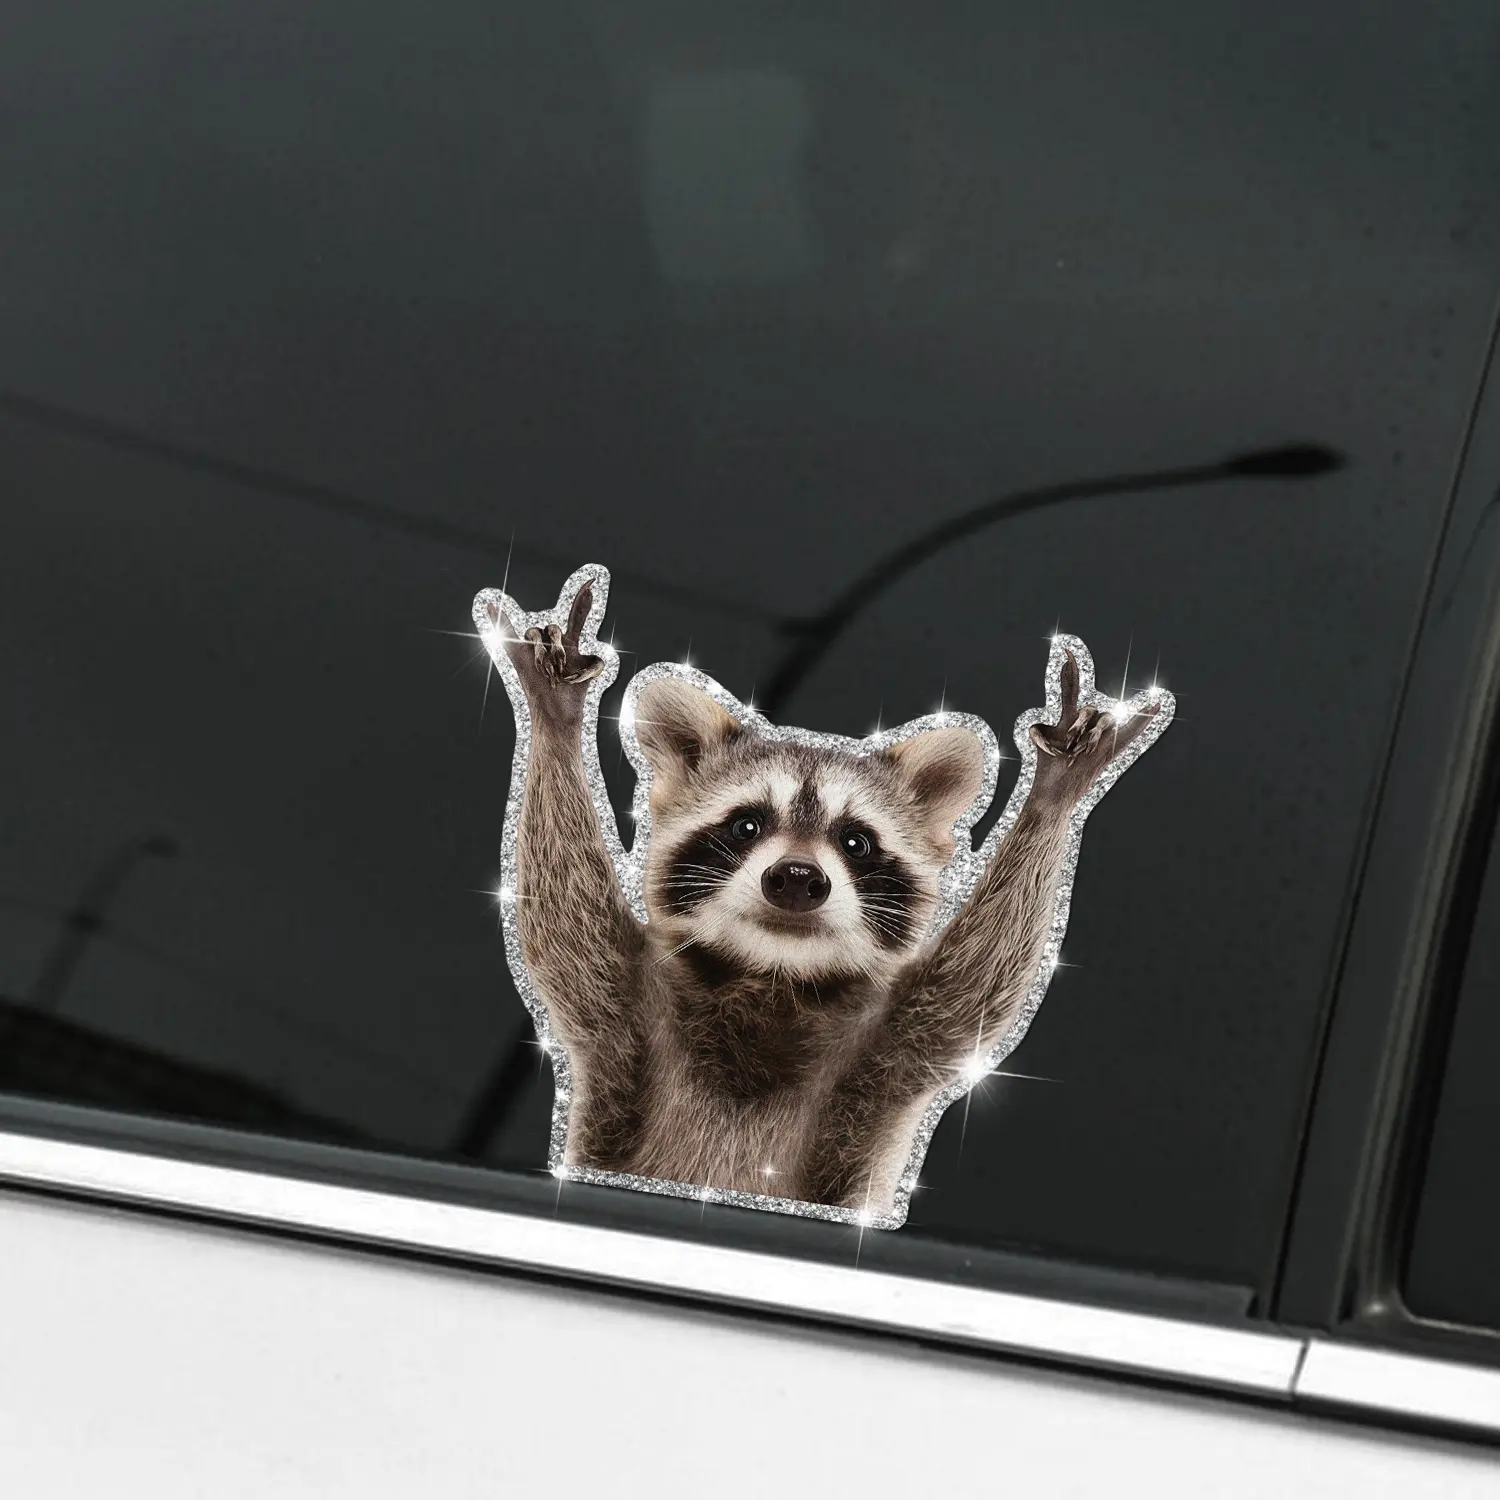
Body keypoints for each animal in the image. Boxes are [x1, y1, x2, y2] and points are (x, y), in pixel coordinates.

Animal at [483, 570, 1167, 1218]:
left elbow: (977, 984)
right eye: (747, 825)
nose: (796, 879)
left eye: (856, 842)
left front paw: (1055, 792)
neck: (774, 978)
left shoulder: (891, 1050)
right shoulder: (627, 1015)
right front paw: (556, 713)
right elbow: (565, 916)